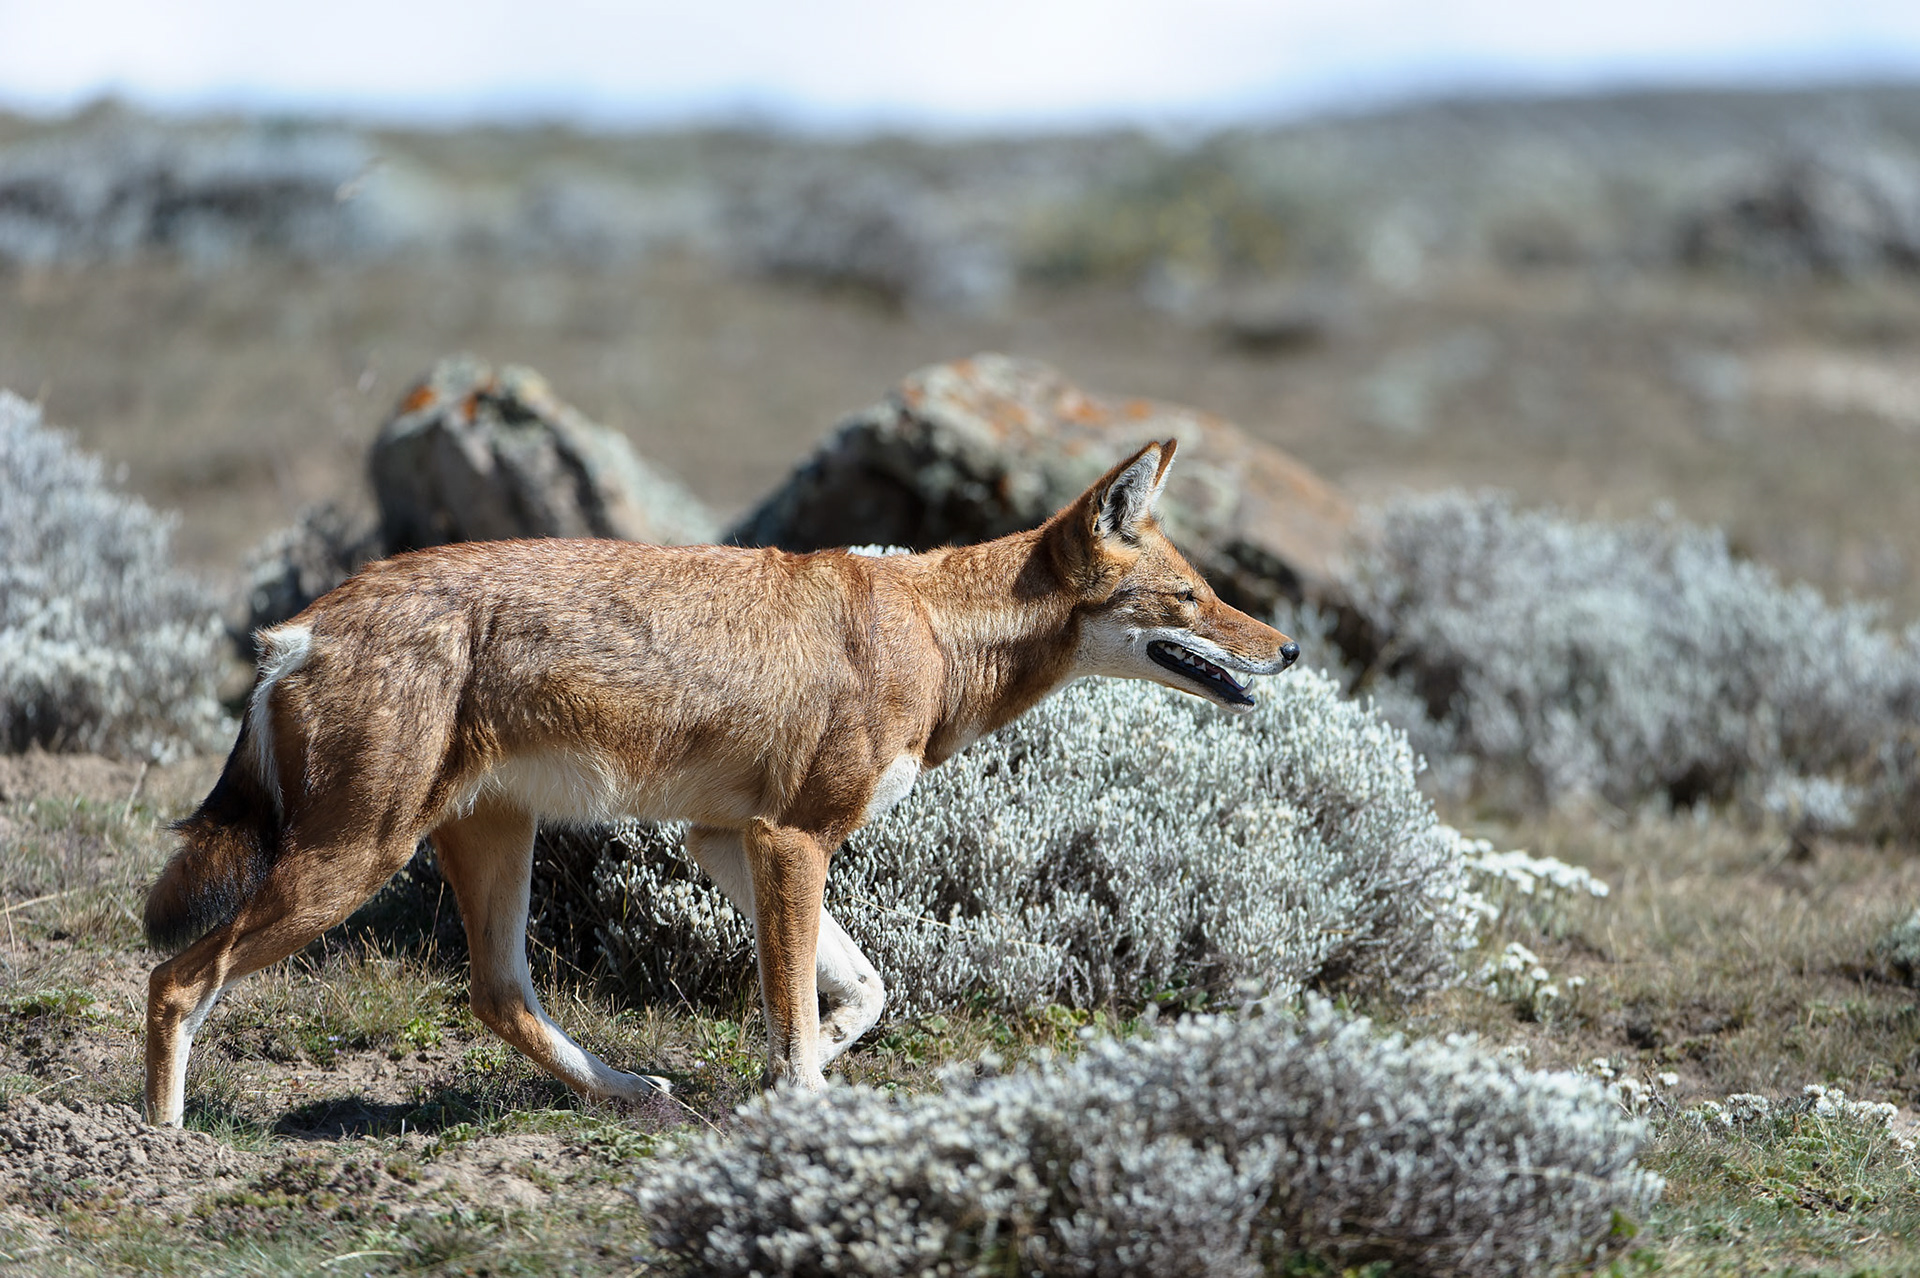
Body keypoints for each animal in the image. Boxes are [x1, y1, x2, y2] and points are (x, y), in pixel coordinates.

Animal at [142, 439, 1298, 1125]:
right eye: (1192, 598)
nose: (1286, 649)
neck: (932, 630)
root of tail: (299, 627)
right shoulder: (792, 840)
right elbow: (796, 1004)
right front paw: (805, 1103)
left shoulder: (731, 841)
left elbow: (860, 989)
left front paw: (808, 1067)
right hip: (350, 865)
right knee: (175, 983)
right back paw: (165, 1145)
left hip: (486, 846)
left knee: (498, 998)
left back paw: (631, 1091)